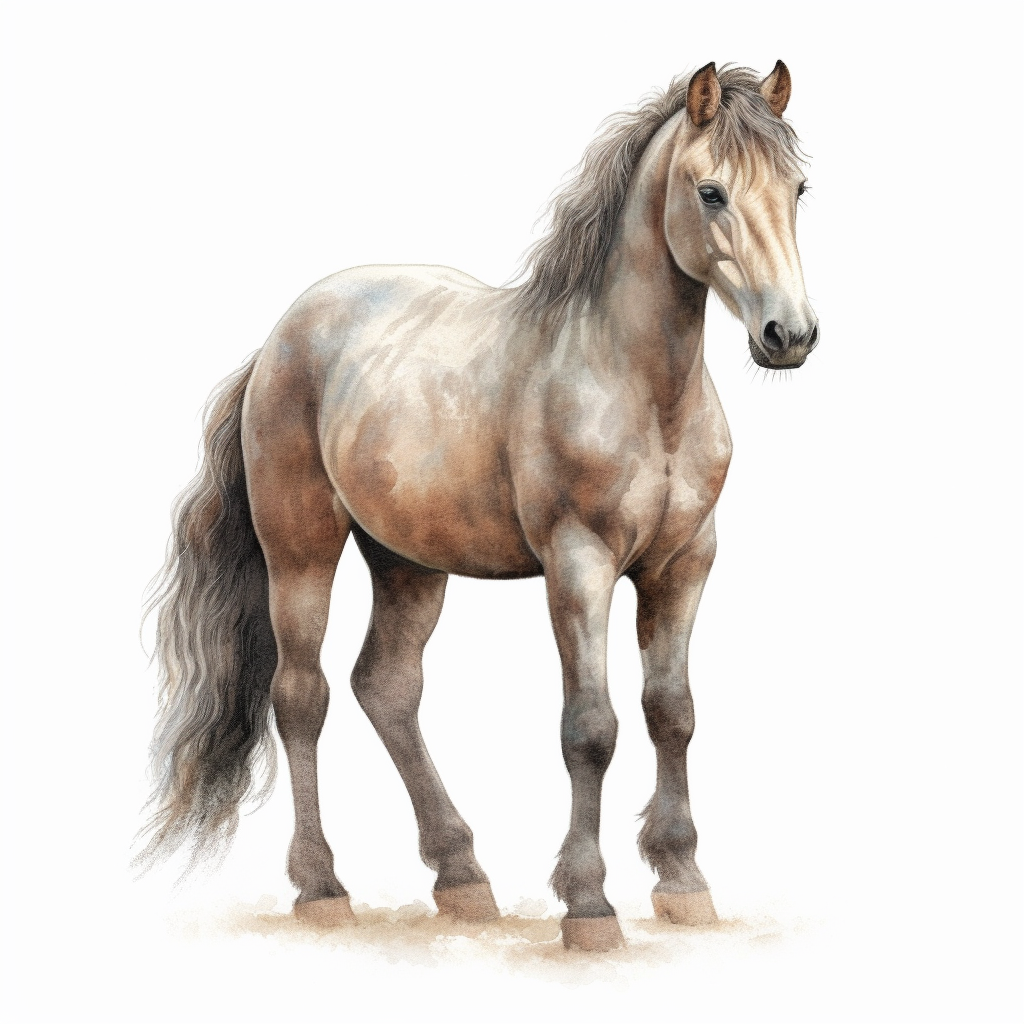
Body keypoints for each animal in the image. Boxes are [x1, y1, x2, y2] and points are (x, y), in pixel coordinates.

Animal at [138, 61, 818, 952]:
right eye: (710, 192)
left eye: (799, 188)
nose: (789, 335)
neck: (635, 386)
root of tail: (283, 336)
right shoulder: (579, 565)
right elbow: (590, 729)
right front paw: (589, 904)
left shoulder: (684, 565)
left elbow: (672, 713)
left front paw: (683, 882)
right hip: (302, 550)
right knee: (302, 695)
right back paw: (323, 887)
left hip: (409, 563)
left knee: (386, 687)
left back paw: (461, 875)